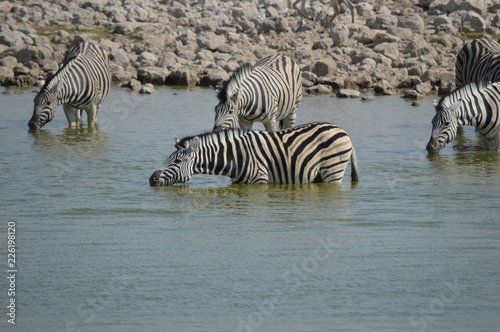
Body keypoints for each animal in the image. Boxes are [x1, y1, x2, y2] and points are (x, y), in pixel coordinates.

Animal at [149, 122, 360, 185]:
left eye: (177, 161)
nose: (152, 179)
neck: (234, 156)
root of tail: (342, 130)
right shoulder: (238, 183)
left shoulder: (259, 181)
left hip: (332, 170)